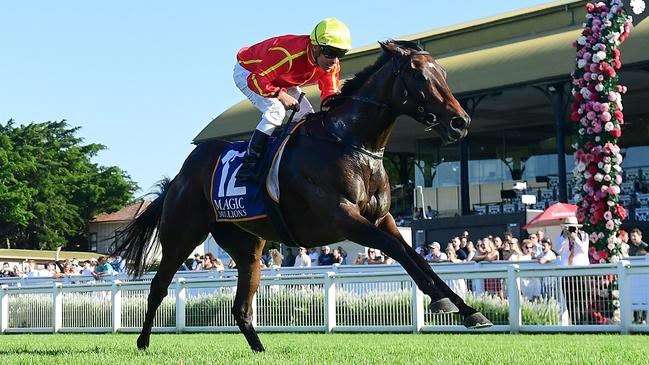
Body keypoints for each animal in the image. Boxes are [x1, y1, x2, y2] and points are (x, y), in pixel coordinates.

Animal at [116, 39, 492, 350]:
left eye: (443, 72)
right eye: (419, 76)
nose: (460, 122)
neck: (351, 144)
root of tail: (180, 177)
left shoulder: (382, 218)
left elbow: (417, 256)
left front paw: (467, 310)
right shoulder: (343, 218)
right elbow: (400, 251)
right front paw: (444, 302)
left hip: (247, 247)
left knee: (241, 307)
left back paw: (260, 349)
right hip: (183, 234)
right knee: (158, 287)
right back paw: (143, 342)